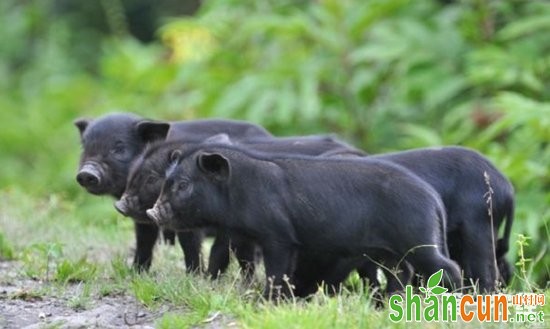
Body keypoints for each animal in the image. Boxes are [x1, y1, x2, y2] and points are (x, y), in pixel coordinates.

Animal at [146, 145, 462, 298]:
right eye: (167, 182)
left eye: (183, 185)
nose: (152, 212)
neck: (241, 191)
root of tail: (433, 199)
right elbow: (285, 272)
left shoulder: (278, 235)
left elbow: (276, 270)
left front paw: (266, 300)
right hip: (393, 251)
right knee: (403, 271)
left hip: (419, 238)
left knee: (448, 267)